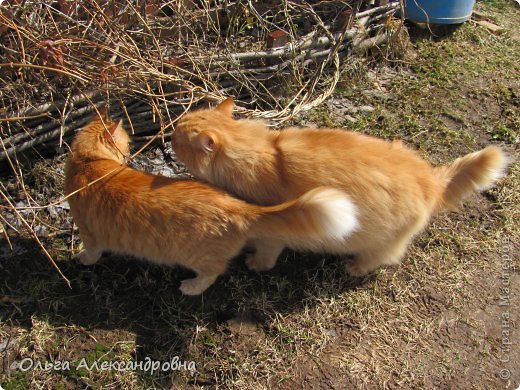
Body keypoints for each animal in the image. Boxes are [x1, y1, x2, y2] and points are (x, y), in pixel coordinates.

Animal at [65, 111, 360, 294]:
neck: (87, 161)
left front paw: (81, 258)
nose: (130, 148)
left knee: (214, 272)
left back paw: (191, 287)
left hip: (195, 257)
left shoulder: (89, 232)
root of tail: (239, 206)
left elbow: (91, 252)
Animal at [171, 97, 508, 278]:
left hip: (382, 242)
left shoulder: (274, 230)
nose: (168, 133)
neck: (267, 151)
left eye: (176, 138)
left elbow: (265, 253)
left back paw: (356, 267)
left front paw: (254, 262)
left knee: (382, 257)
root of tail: (430, 178)